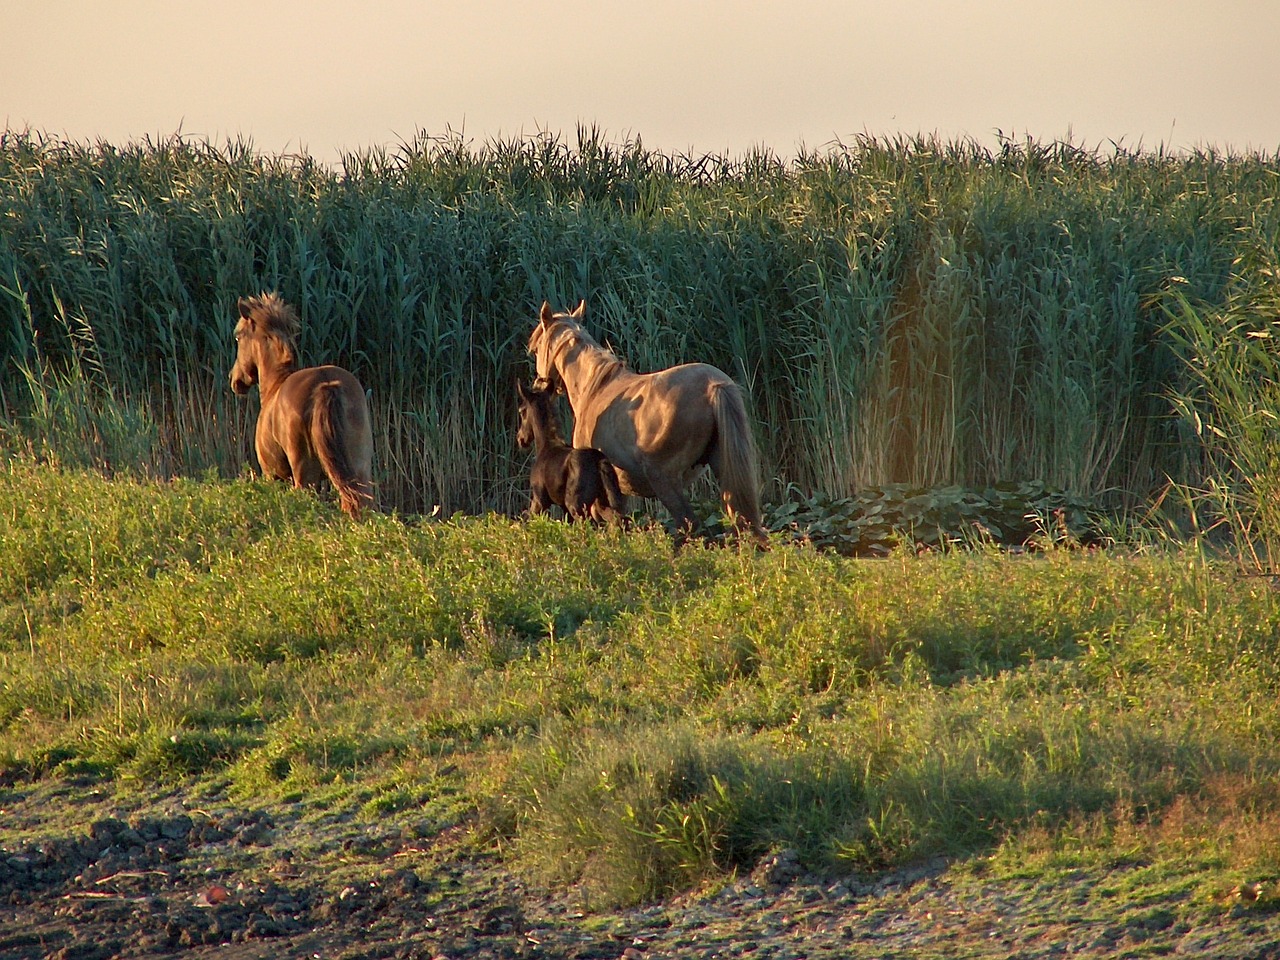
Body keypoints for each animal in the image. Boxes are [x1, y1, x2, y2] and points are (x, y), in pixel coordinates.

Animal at [230, 291, 373, 519]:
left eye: (238, 336)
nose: (235, 381)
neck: (276, 384)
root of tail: (326, 384)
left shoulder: (272, 474)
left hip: (305, 476)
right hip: (360, 469)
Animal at [512, 378, 627, 527]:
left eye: (522, 411)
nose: (521, 439)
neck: (546, 446)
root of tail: (598, 461)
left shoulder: (539, 500)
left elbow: (526, 519)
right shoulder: (563, 507)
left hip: (576, 505)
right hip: (601, 502)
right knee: (619, 520)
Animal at [527, 302, 762, 542]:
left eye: (536, 349)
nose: (538, 386)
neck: (595, 388)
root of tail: (713, 386)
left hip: (665, 481)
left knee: (690, 526)